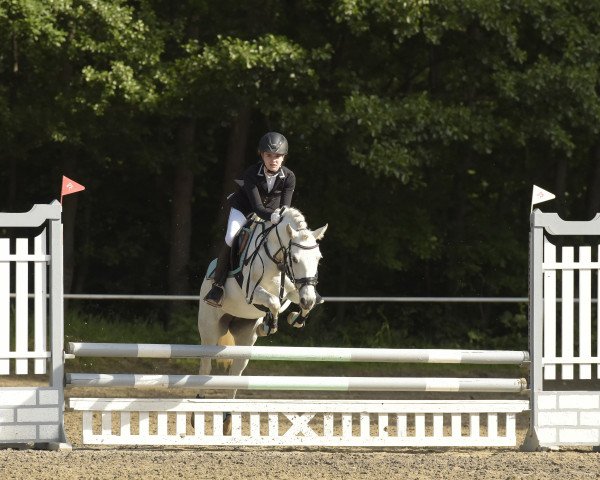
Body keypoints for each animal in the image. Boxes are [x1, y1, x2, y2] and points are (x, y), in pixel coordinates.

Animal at [197, 206, 328, 386]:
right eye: (294, 259)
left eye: (318, 258)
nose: (306, 300)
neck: (276, 260)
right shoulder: (251, 292)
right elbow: (274, 303)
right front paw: (270, 325)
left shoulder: (293, 291)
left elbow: (303, 303)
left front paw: (295, 318)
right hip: (210, 332)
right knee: (205, 367)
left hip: (245, 338)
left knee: (235, 373)